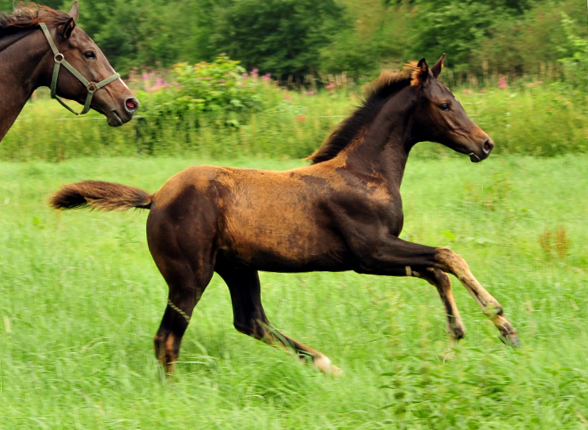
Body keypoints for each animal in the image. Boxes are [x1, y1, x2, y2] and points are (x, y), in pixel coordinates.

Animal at [51, 55, 520, 374]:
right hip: (189, 277)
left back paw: (327, 365)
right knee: (168, 338)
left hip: (237, 268)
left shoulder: (382, 255)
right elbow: (447, 256)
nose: (486, 144)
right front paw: (502, 322)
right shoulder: (371, 252)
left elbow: (438, 271)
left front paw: (458, 336)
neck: (363, 171)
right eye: (444, 105)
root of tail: (157, 197)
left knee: (250, 321)